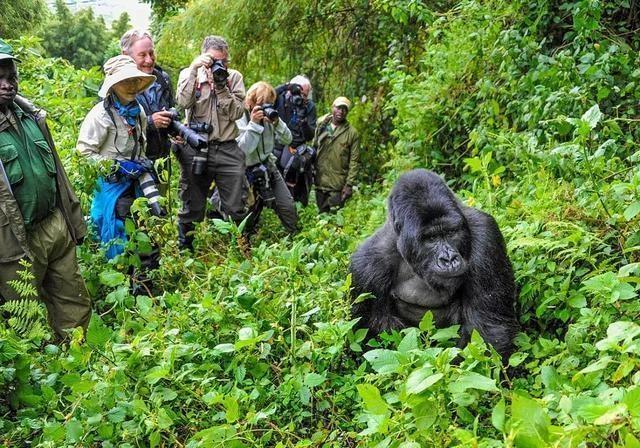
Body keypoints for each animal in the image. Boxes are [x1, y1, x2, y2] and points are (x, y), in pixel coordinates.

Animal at [350, 170, 520, 358]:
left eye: (451, 232)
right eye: (431, 238)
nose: (449, 259)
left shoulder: (486, 234)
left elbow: (487, 330)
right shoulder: (366, 267)